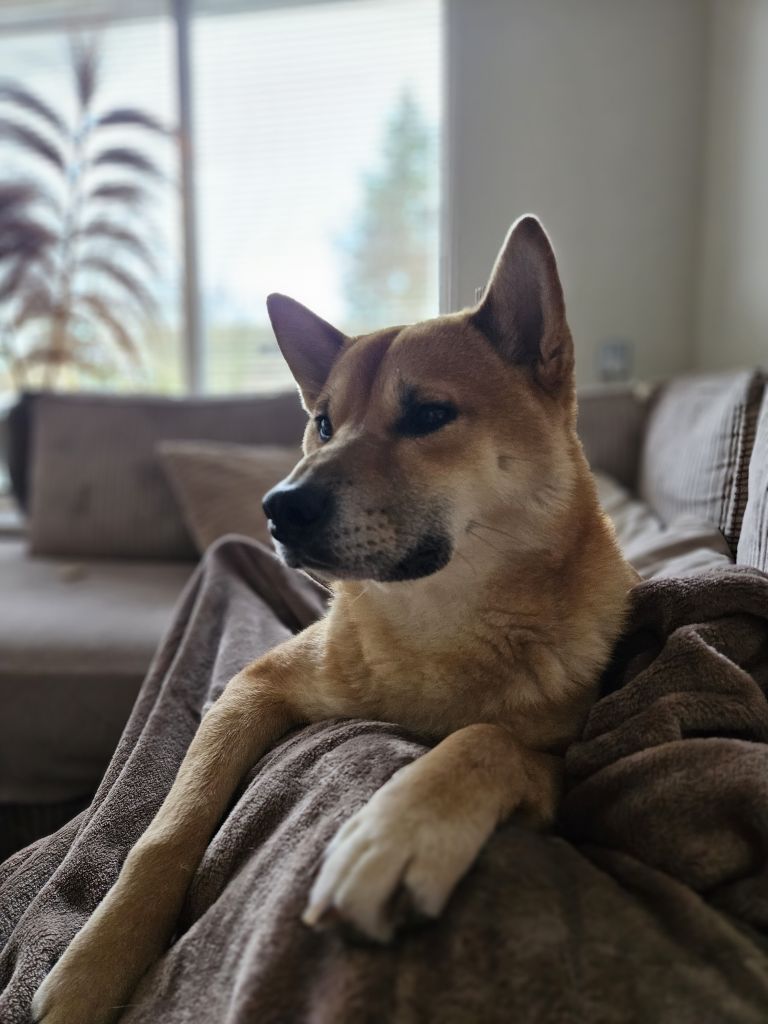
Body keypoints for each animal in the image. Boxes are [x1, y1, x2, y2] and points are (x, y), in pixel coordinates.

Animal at [32, 215, 636, 1024]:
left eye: (428, 414)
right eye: (323, 422)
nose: (278, 508)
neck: (433, 624)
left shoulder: (561, 771)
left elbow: (487, 740)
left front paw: (402, 830)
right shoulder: (250, 689)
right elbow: (165, 833)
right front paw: (95, 963)